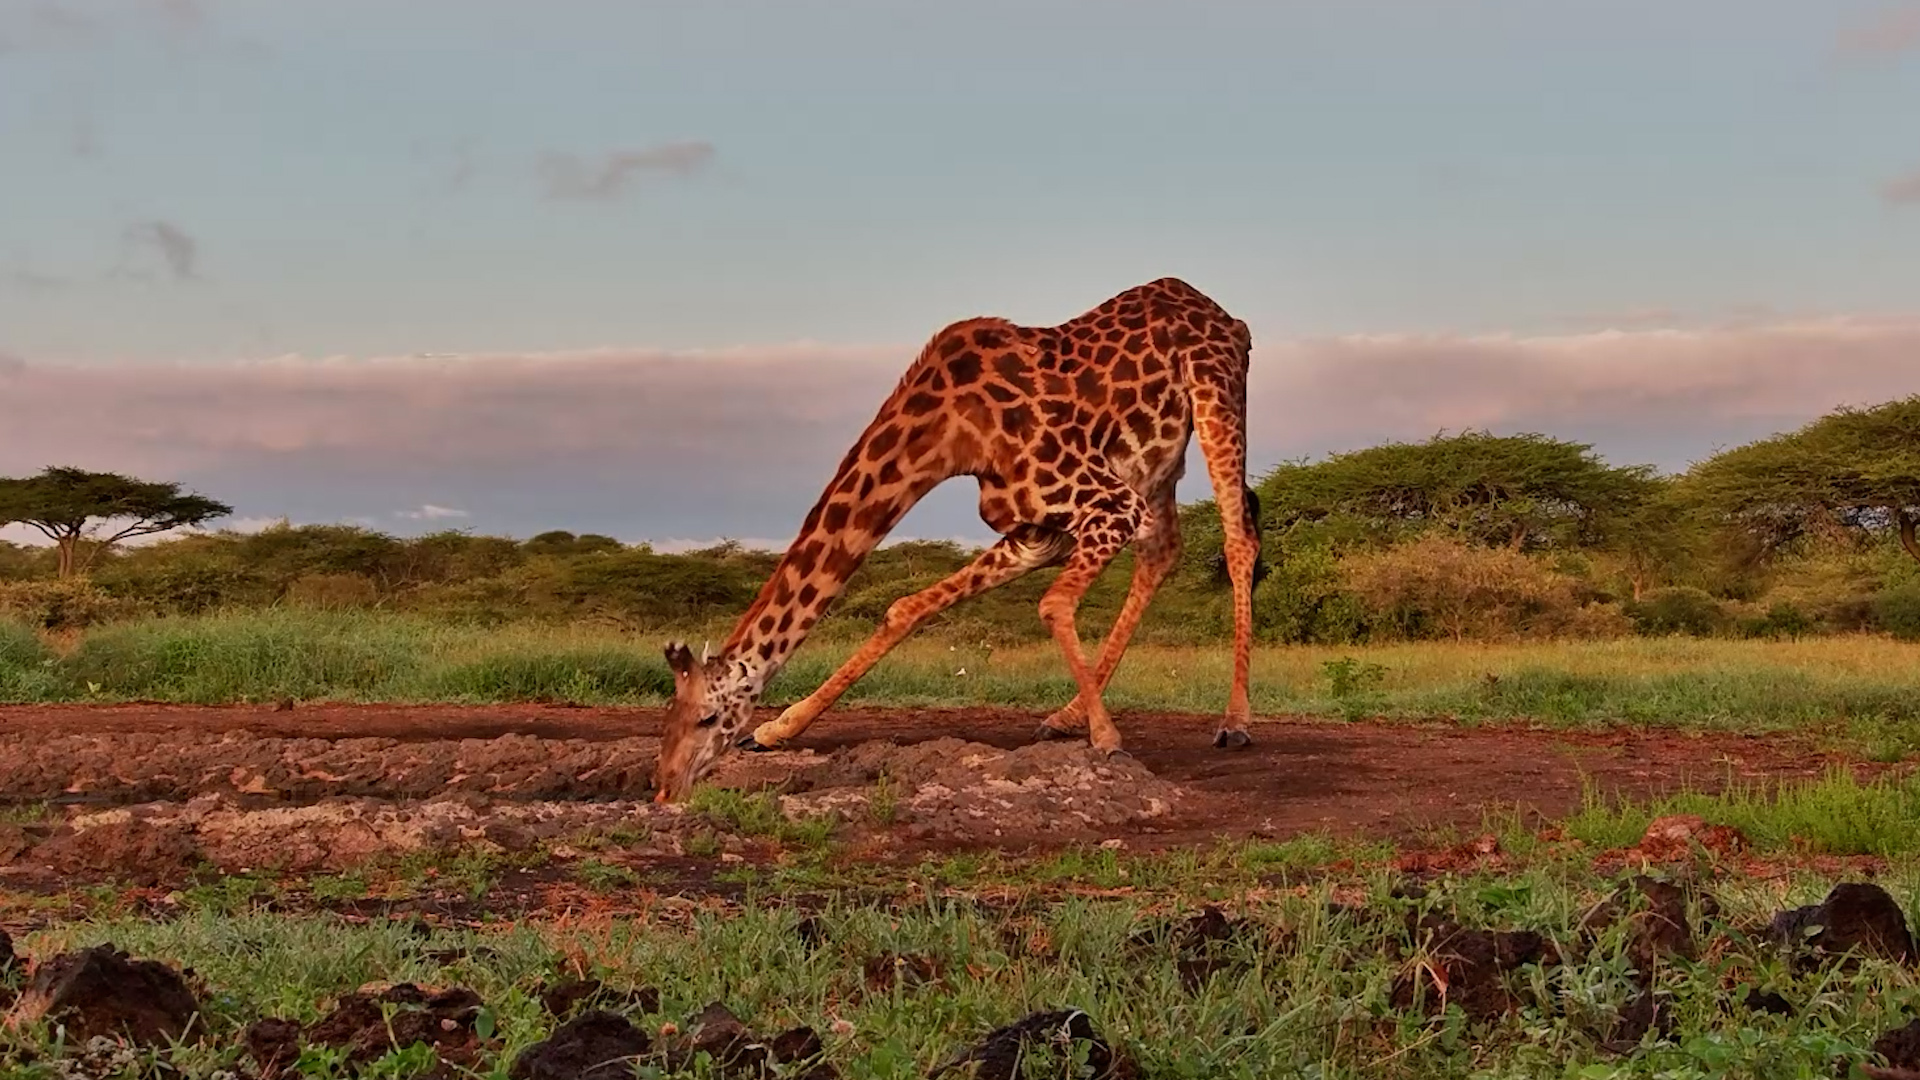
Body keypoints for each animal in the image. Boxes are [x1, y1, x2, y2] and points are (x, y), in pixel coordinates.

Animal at [651, 277, 1265, 803]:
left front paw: (1109, 742)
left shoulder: (1108, 505)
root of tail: (1225, 315)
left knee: (1238, 540)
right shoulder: (1036, 532)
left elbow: (1052, 604)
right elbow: (905, 608)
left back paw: (1233, 722)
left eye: (708, 717)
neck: (950, 431)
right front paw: (778, 728)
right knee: (1163, 551)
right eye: (666, 716)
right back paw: (1064, 716)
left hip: (1216, 398)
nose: (664, 789)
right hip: (1157, 462)